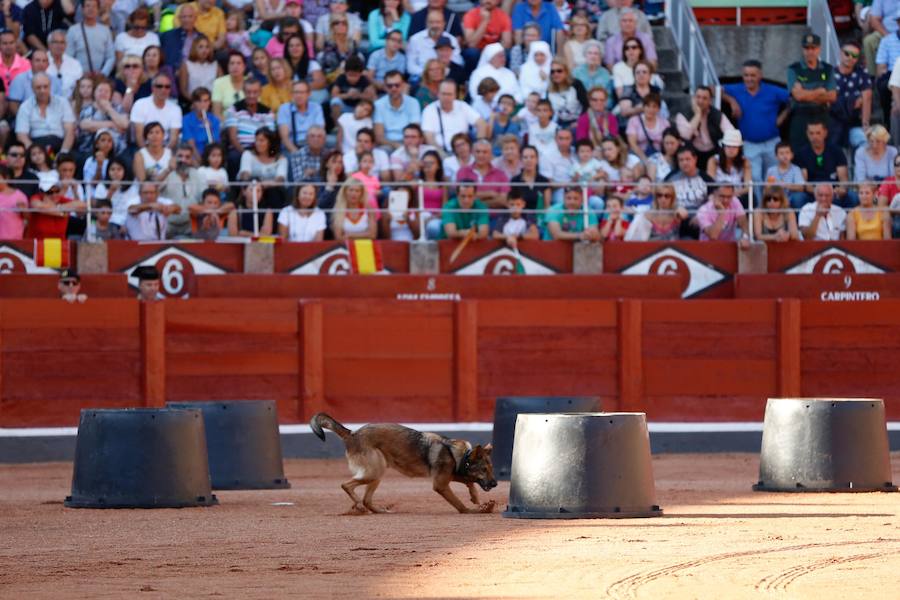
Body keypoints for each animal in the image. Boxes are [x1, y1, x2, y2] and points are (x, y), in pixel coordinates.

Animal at [312, 412, 500, 516]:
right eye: (484, 469)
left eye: (491, 468)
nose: (495, 484)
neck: (460, 456)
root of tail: (352, 433)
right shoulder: (440, 484)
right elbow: (459, 504)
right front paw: (473, 510)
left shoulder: (450, 476)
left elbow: (469, 481)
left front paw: (476, 498)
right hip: (374, 472)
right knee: (346, 485)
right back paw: (358, 507)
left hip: (377, 474)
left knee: (367, 499)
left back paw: (379, 510)